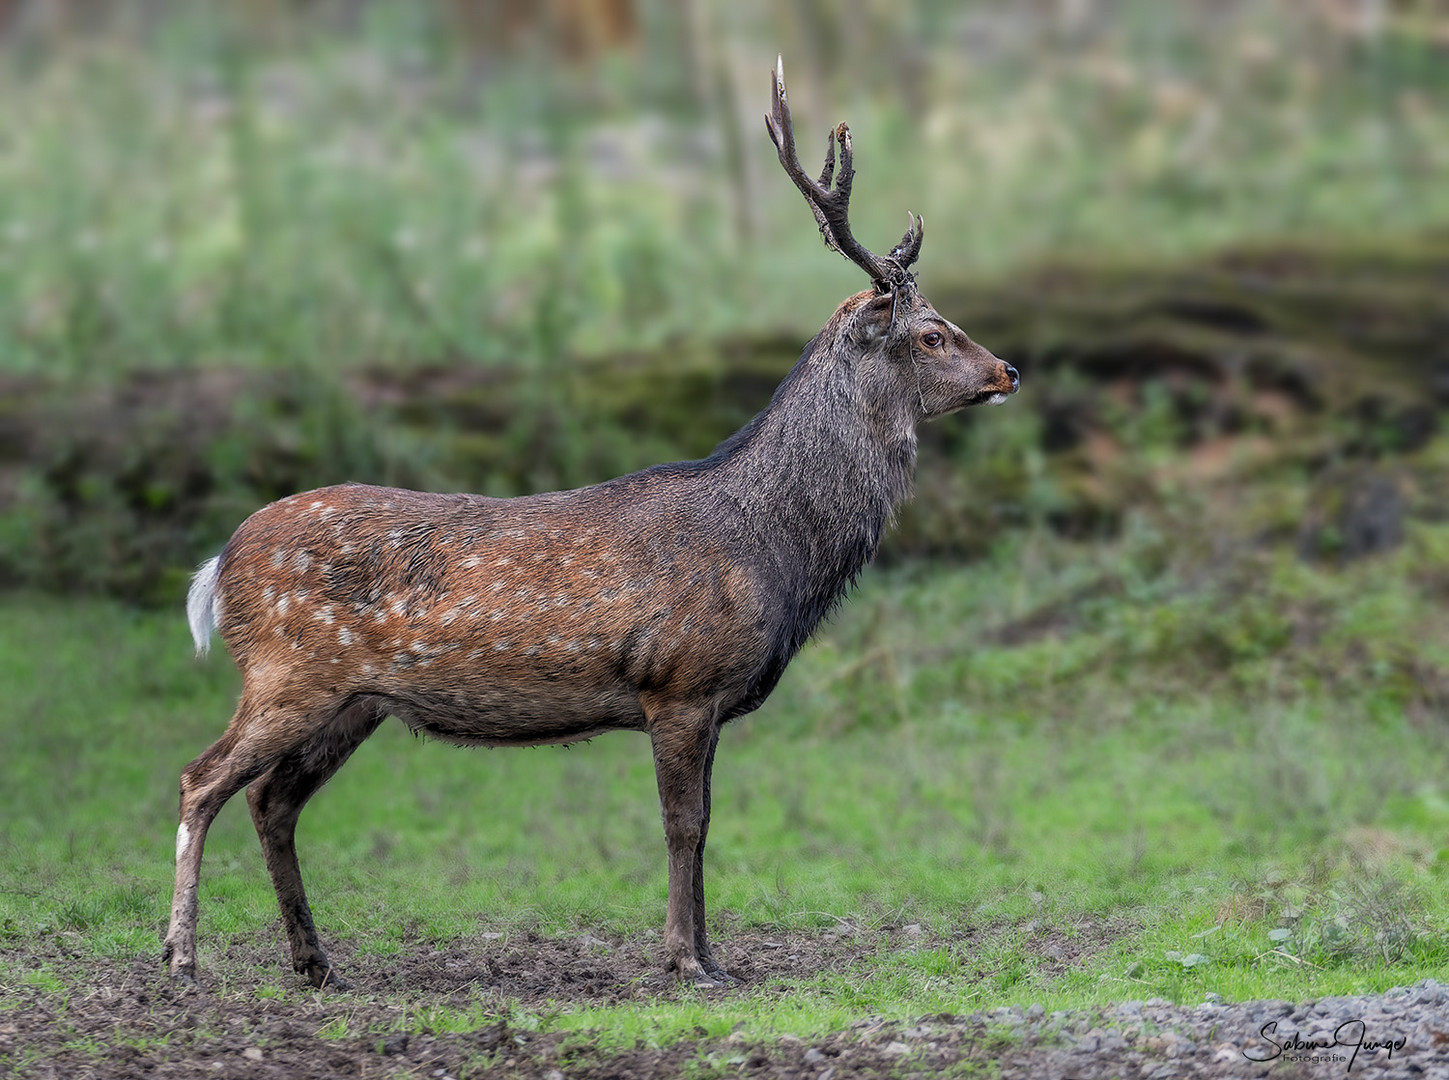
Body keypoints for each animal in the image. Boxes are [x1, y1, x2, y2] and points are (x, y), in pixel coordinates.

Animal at [164, 56, 1014, 985]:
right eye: (932, 334)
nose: (1008, 370)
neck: (774, 553)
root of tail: (219, 563)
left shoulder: (709, 701)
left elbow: (706, 824)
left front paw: (709, 953)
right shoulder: (679, 681)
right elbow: (685, 824)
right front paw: (684, 960)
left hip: (353, 699)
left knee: (271, 800)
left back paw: (314, 962)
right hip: (287, 671)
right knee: (202, 779)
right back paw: (181, 954)